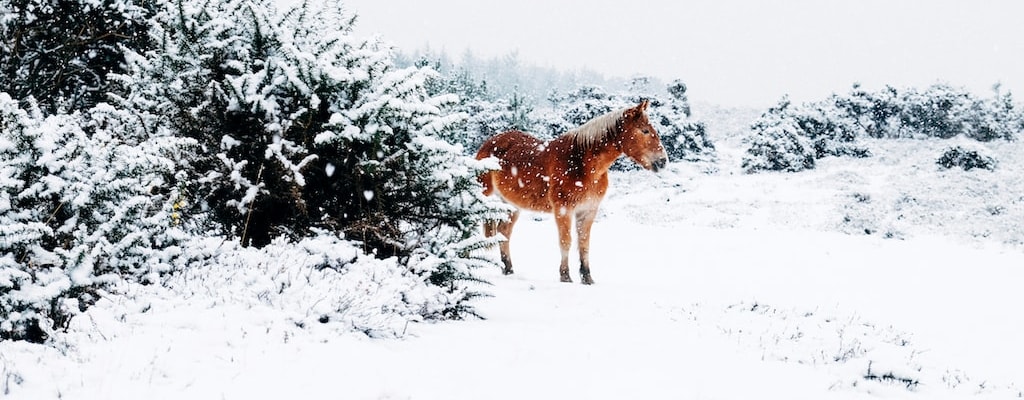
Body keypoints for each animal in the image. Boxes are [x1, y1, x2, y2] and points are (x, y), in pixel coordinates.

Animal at [475, 98, 667, 284]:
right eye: (644, 130)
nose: (663, 161)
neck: (583, 164)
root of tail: (488, 144)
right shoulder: (563, 209)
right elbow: (566, 241)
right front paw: (565, 276)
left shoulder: (588, 211)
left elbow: (584, 244)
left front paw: (587, 277)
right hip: (483, 197)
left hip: (511, 205)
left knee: (504, 232)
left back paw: (508, 269)